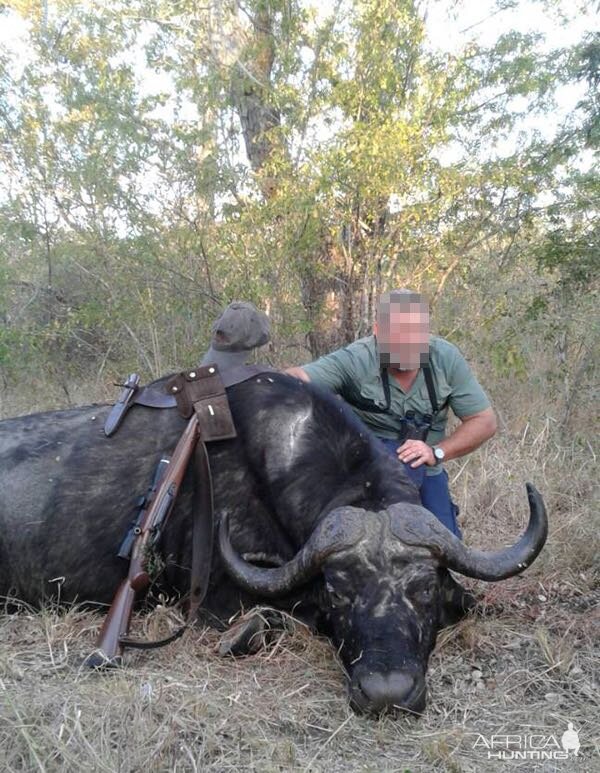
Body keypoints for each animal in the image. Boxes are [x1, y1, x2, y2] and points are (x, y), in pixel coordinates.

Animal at [0, 370, 548, 716]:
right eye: (338, 592)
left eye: (425, 591)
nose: (386, 693)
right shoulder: (215, 597)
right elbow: (271, 617)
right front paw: (243, 635)